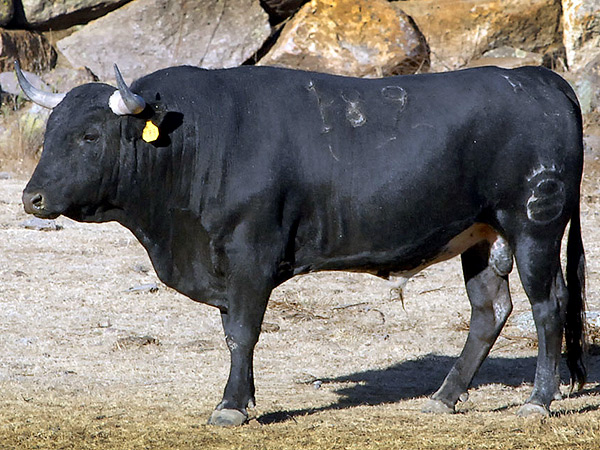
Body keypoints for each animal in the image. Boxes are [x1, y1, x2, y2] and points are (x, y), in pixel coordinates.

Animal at [18, 63, 584, 426]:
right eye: (49, 131)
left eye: (90, 135)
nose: (32, 197)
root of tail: (539, 78)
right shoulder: (222, 262)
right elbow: (231, 332)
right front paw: (245, 399)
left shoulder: (251, 254)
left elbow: (242, 333)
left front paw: (230, 406)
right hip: (482, 235)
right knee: (490, 310)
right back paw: (444, 398)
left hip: (534, 226)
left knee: (547, 305)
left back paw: (537, 401)